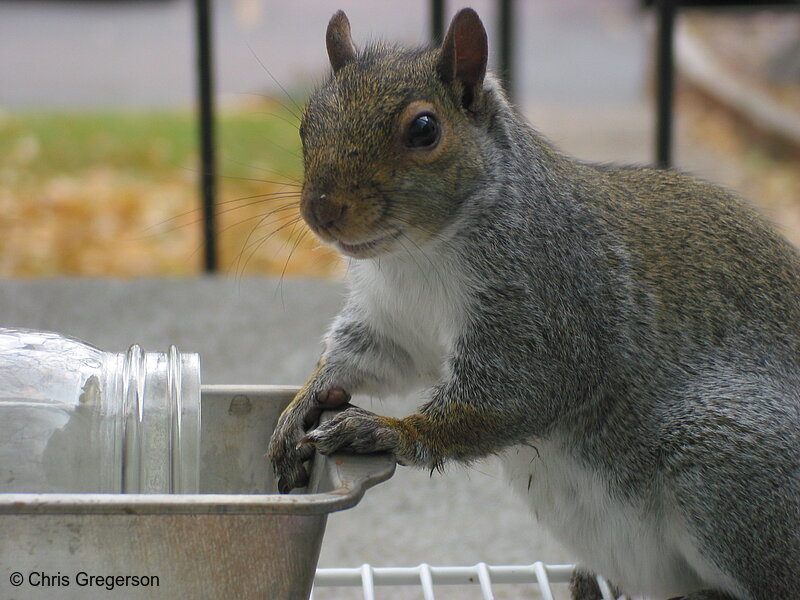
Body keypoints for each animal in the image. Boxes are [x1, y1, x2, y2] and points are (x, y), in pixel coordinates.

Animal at [268, 9, 800, 600]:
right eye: (306, 124)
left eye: (424, 129)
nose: (321, 211)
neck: (417, 257)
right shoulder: (393, 321)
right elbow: (371, 358)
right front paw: (303, 403)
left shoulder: (551, 304)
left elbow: (516, 397)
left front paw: (391, 430)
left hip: (729, 463)